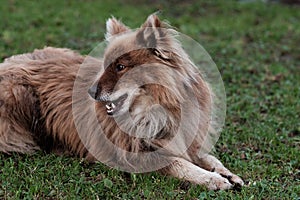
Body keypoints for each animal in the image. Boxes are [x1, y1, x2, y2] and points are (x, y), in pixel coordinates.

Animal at [0, 14, 243, 191]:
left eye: (120, 67)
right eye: (106, 65)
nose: (90, 92)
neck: (157, 107)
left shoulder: (187, 138)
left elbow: (207, 157)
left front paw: (227, 173)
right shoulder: (136, 154)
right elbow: (181, 164)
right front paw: (213, 180)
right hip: (18, 94)